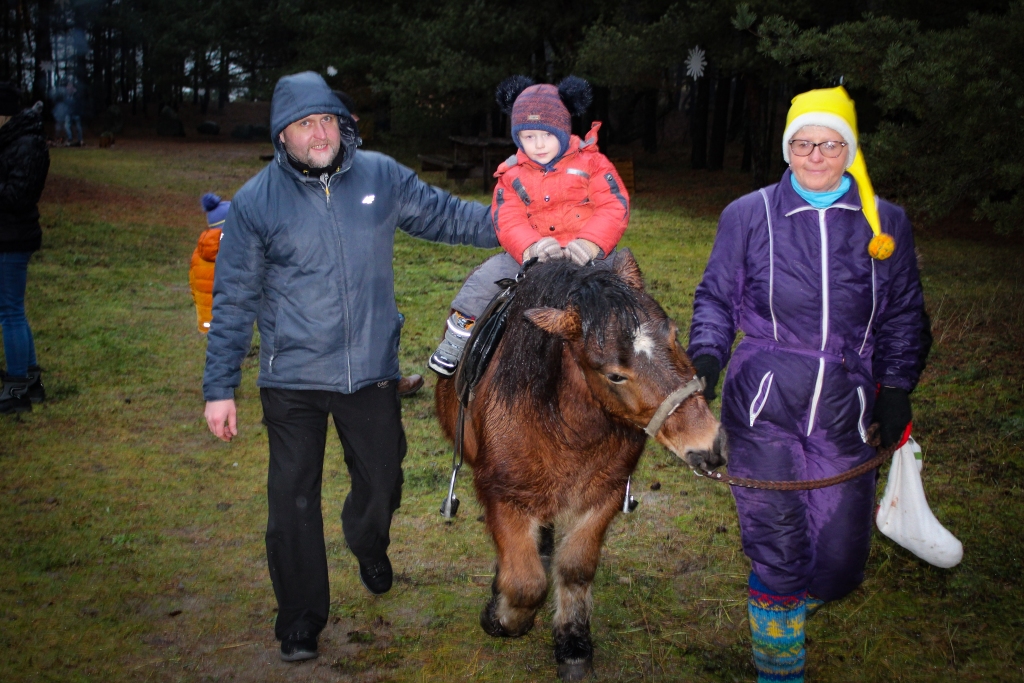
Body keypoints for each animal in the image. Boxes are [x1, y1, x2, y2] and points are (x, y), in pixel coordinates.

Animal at [436, 249, 724, 679]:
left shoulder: (604, 494)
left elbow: (575, 568)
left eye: (674, 336)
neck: (566, 423)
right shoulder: (501, 494)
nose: (708, 443)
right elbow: (525, 582)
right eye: (615, 375)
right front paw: (501, 618)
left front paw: (573, 643)